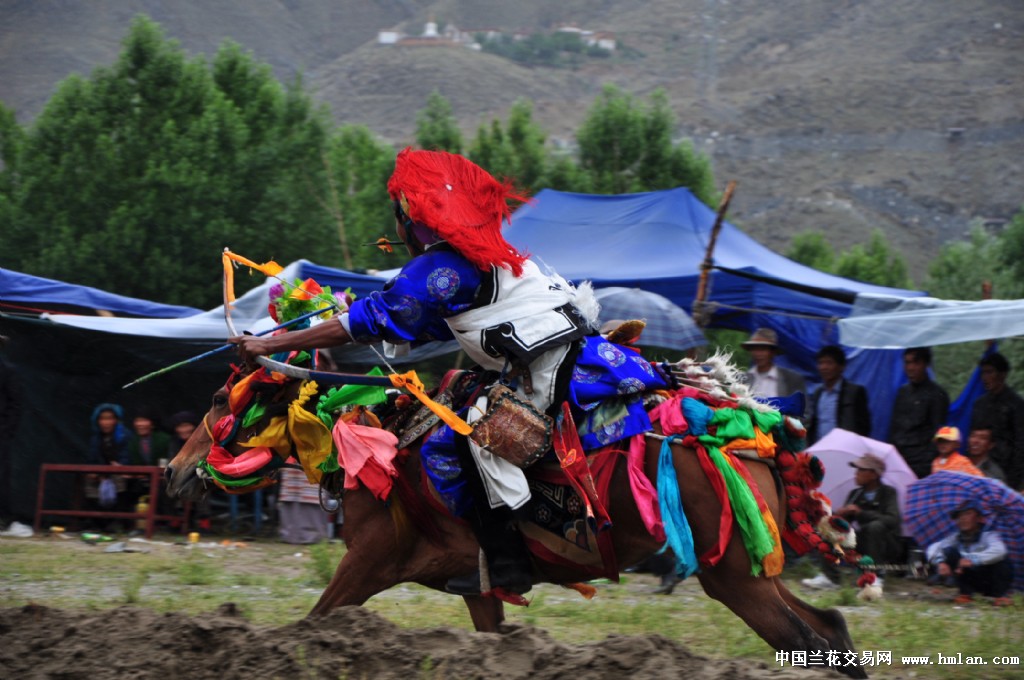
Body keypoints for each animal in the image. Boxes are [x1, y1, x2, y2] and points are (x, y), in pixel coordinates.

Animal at [165, 374, 864, 675]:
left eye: (220, 401)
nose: (172, 471)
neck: (377, 442)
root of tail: (752, 441)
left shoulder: (369, 562)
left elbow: (311, 621)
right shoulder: (478, 587)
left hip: (733, 577)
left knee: (806, 637)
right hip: (751, 567)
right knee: (826, 628)